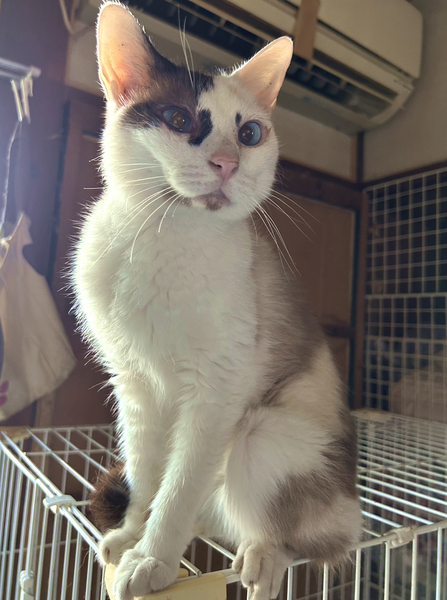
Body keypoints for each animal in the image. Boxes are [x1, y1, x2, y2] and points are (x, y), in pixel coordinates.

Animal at [73, 3, 362, 599]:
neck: (166, 240)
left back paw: (262, 558)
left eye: (249, 133)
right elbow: (148, 476)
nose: (228, 162)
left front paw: (152, 560)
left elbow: (178, 488)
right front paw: (132, 536)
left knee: (312, 539)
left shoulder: (215, 394)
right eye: (179, 120)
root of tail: (355, 504)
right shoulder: (135, 386)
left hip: (259, 433)